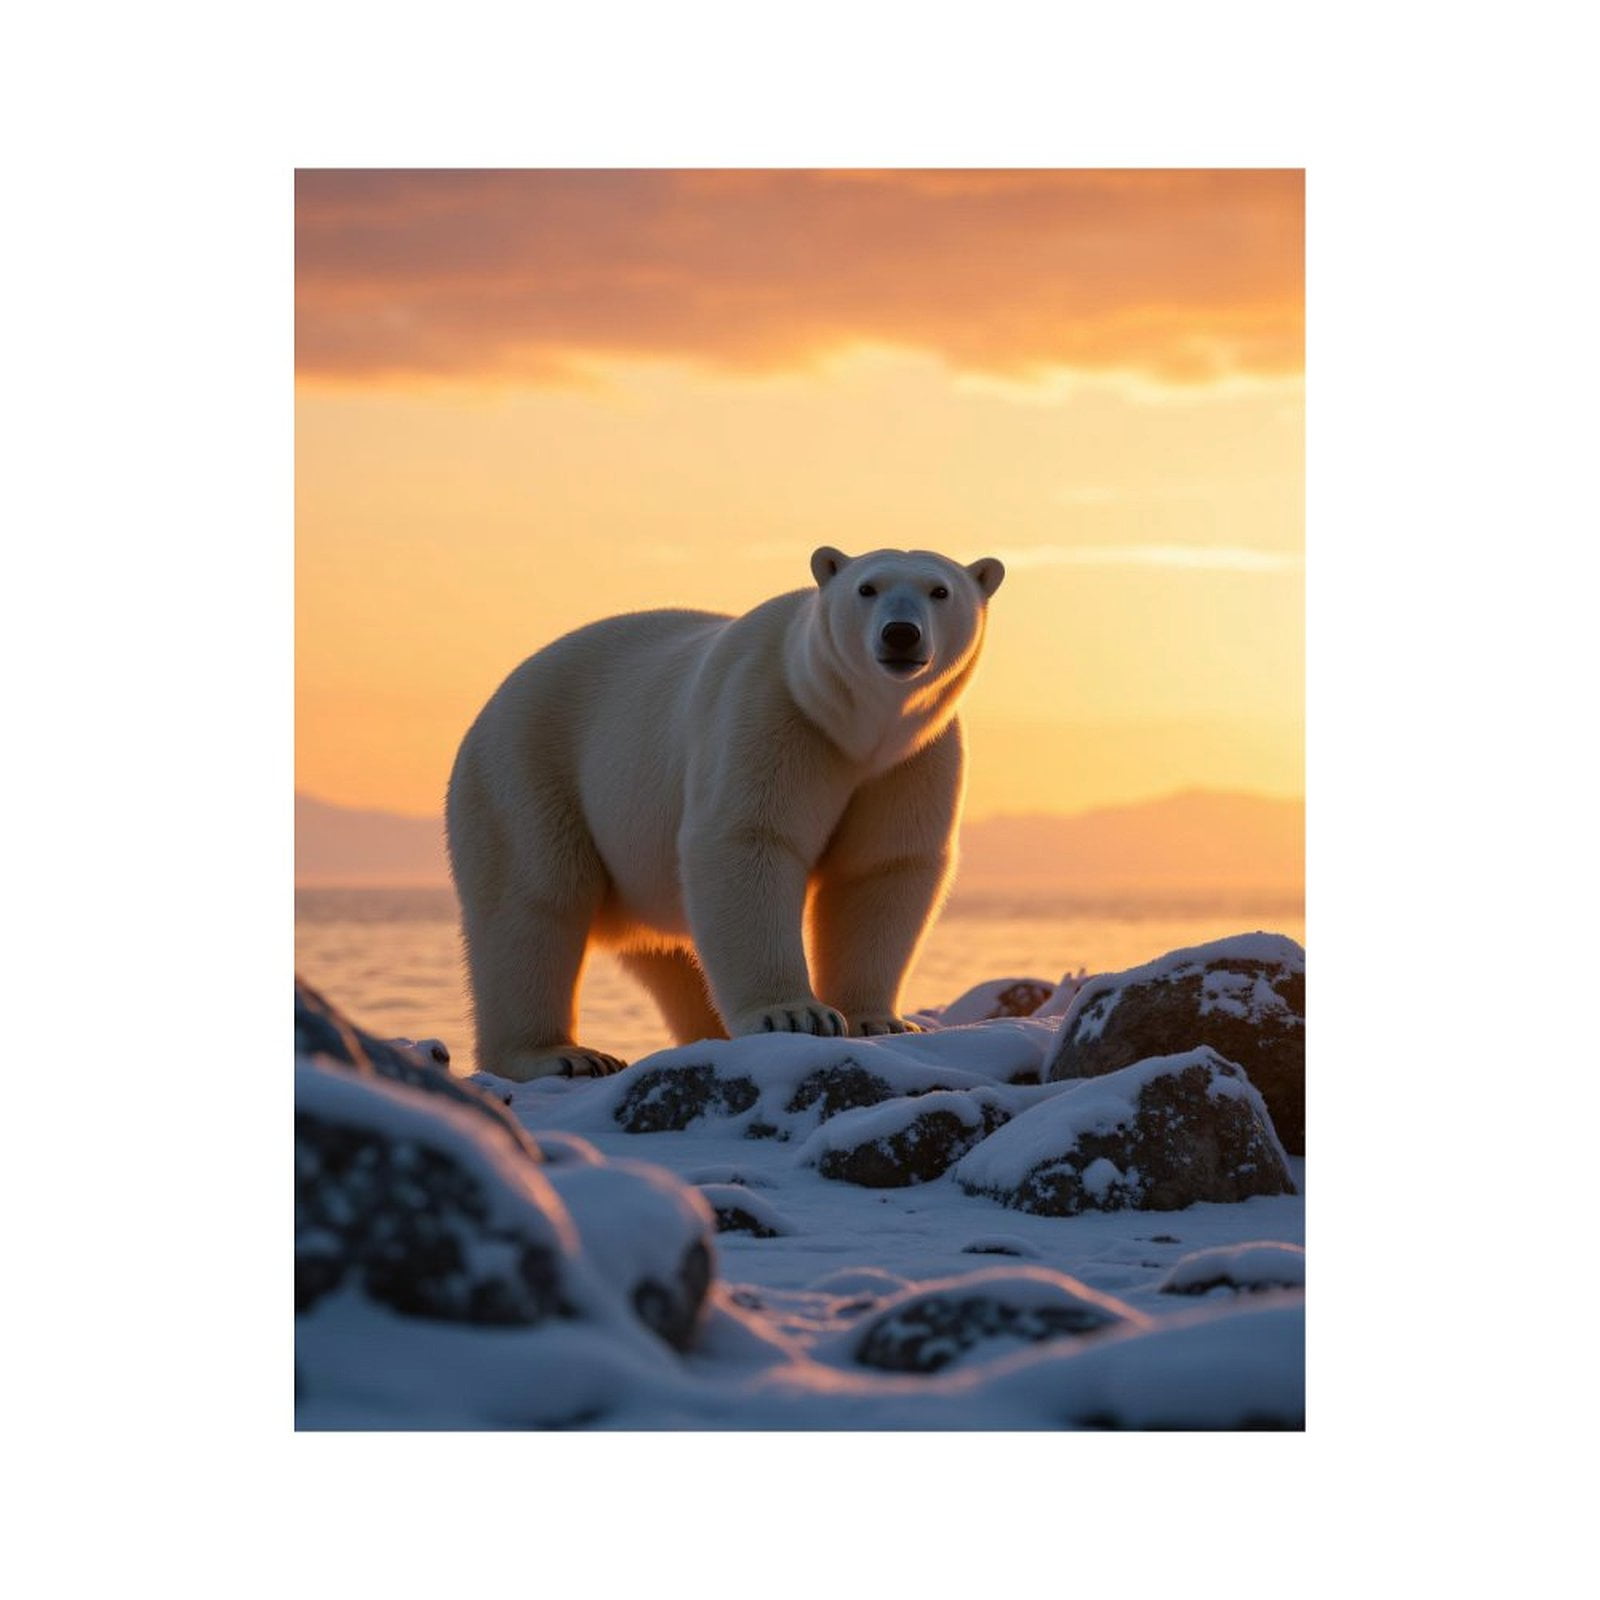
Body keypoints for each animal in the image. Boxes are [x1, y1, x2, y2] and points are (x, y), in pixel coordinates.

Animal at [446, 545, 1005, 1081]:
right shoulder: (773, 713)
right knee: (533, 901)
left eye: (939, 590)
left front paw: (878, 1020)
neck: (851, 727)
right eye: (867, 588)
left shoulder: (913, 758)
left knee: (670, 953)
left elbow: (881, 867)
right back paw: (562, 1055)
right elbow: (748, 838)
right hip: (528, 768)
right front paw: (794, 1014)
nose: (901, 634)